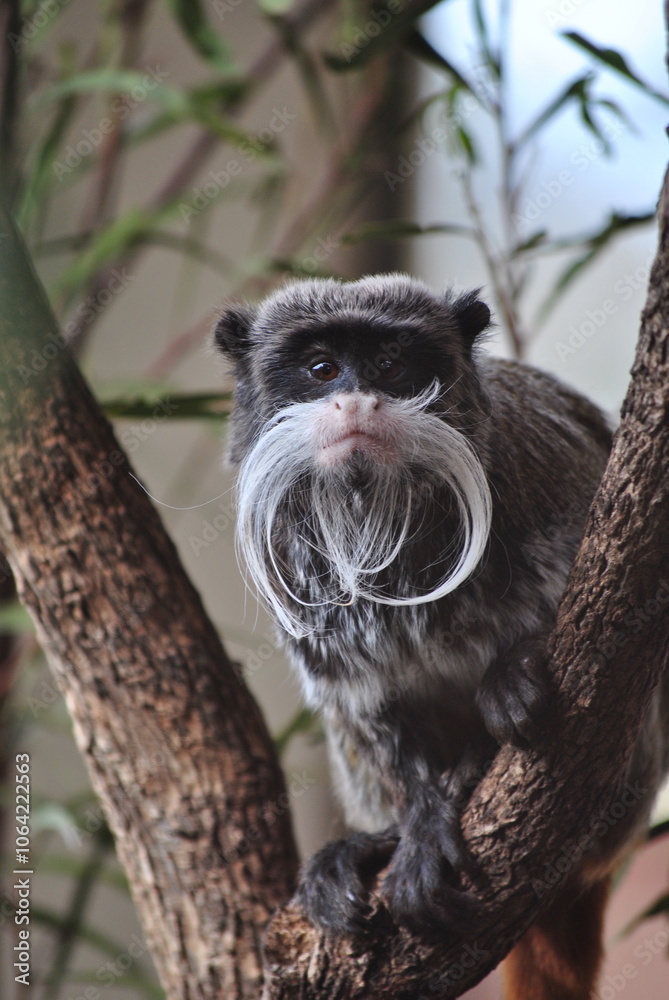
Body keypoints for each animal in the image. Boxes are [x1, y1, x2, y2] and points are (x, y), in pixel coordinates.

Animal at [214, 273, 668, 1000]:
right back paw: (369, 845)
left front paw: (506, 687)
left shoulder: (552, 472)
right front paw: (421, 820)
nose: (356, 399)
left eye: (390, 365)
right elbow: (369, 709)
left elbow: (623, 610)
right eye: (322, 369)